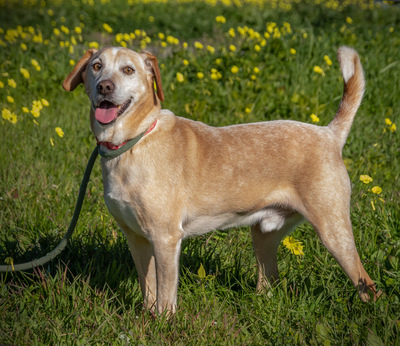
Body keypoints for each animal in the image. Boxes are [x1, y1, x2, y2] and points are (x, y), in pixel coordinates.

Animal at [62, 45, 378, 314]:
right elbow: (148, 289)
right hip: (264, 237)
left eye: (128, 70)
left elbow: (165, 295)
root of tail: (330, 134)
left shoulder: (165, 238)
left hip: (334, 233)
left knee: (369, 286)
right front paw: (145, 320)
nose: (105, 86)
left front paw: (162, 325)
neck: (132, 143)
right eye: (96, 66)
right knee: (269, 283)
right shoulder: (136, 238)